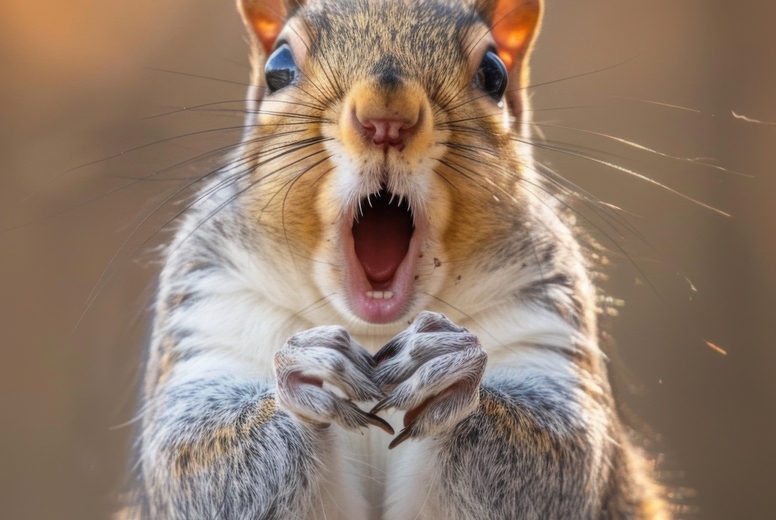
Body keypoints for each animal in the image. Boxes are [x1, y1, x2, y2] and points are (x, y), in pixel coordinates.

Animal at [121, 0, 670, 518]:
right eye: (279, 66)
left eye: (494, 73)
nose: (387, 117)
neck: (372, 330)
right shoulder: (208, 309)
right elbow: (194, 467)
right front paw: (300, 370)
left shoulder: (548, 322)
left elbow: (564, 460)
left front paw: (452, 366)